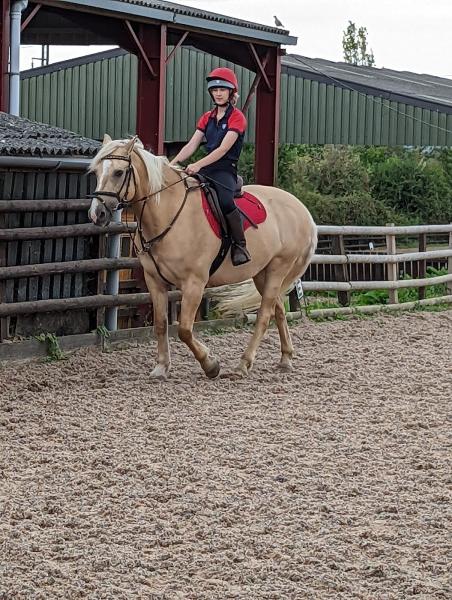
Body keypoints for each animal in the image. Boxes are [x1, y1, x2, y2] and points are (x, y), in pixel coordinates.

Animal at [86, 137, 316, 380]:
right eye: (97, 172)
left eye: (119, 172)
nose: (97, 214)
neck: (169, 213)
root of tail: (302, 210)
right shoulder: (154, 281)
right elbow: (161, 324)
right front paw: (161, 367)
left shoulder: (194, 283)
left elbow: (184, 330)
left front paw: (210, 364)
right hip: (262, 273)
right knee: (278, 309)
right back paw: (285, 359)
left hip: (278, 269)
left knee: (264, 315)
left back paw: (243, 365)